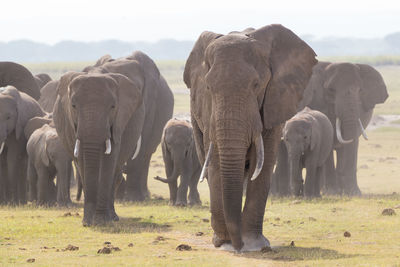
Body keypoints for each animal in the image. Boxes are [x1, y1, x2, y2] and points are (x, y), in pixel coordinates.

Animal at [85, 52, 174, 202]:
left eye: (136, 93)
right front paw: (119, 197)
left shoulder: (149, 101)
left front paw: (133, 198)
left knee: (146, 154)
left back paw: (143, 195)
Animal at [183, 24, 318, 252]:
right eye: (209, 87)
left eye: (256, 85)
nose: (237, 246)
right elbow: (216, 163)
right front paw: (224, 242)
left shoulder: (274, 104)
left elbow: (263, 163)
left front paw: (256, 245)